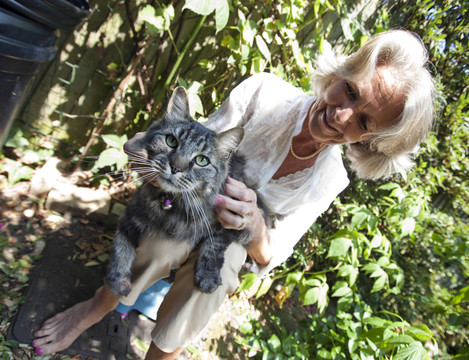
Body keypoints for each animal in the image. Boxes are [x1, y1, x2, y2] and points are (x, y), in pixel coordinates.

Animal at [105, 86, 266, 296]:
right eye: (171, 141)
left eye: (202, 160)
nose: (175, 167)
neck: (174, 206)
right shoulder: (131, 215)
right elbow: (121, 249)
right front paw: (118, 281)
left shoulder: (226, 225)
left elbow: (213, 248)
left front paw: (208, 277)